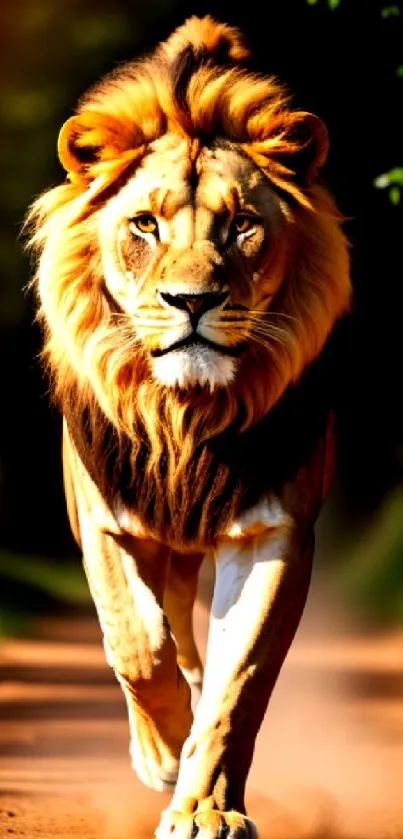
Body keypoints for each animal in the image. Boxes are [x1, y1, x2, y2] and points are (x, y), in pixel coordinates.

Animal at [26, 18, 352, 839]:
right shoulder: (105, 519)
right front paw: (166, 754)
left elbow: (240, 683)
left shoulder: (275, 527)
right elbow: (135, 644)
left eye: (241, 226)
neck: (186, 415)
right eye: (144, 224)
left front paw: (205, 807)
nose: (192, 301)